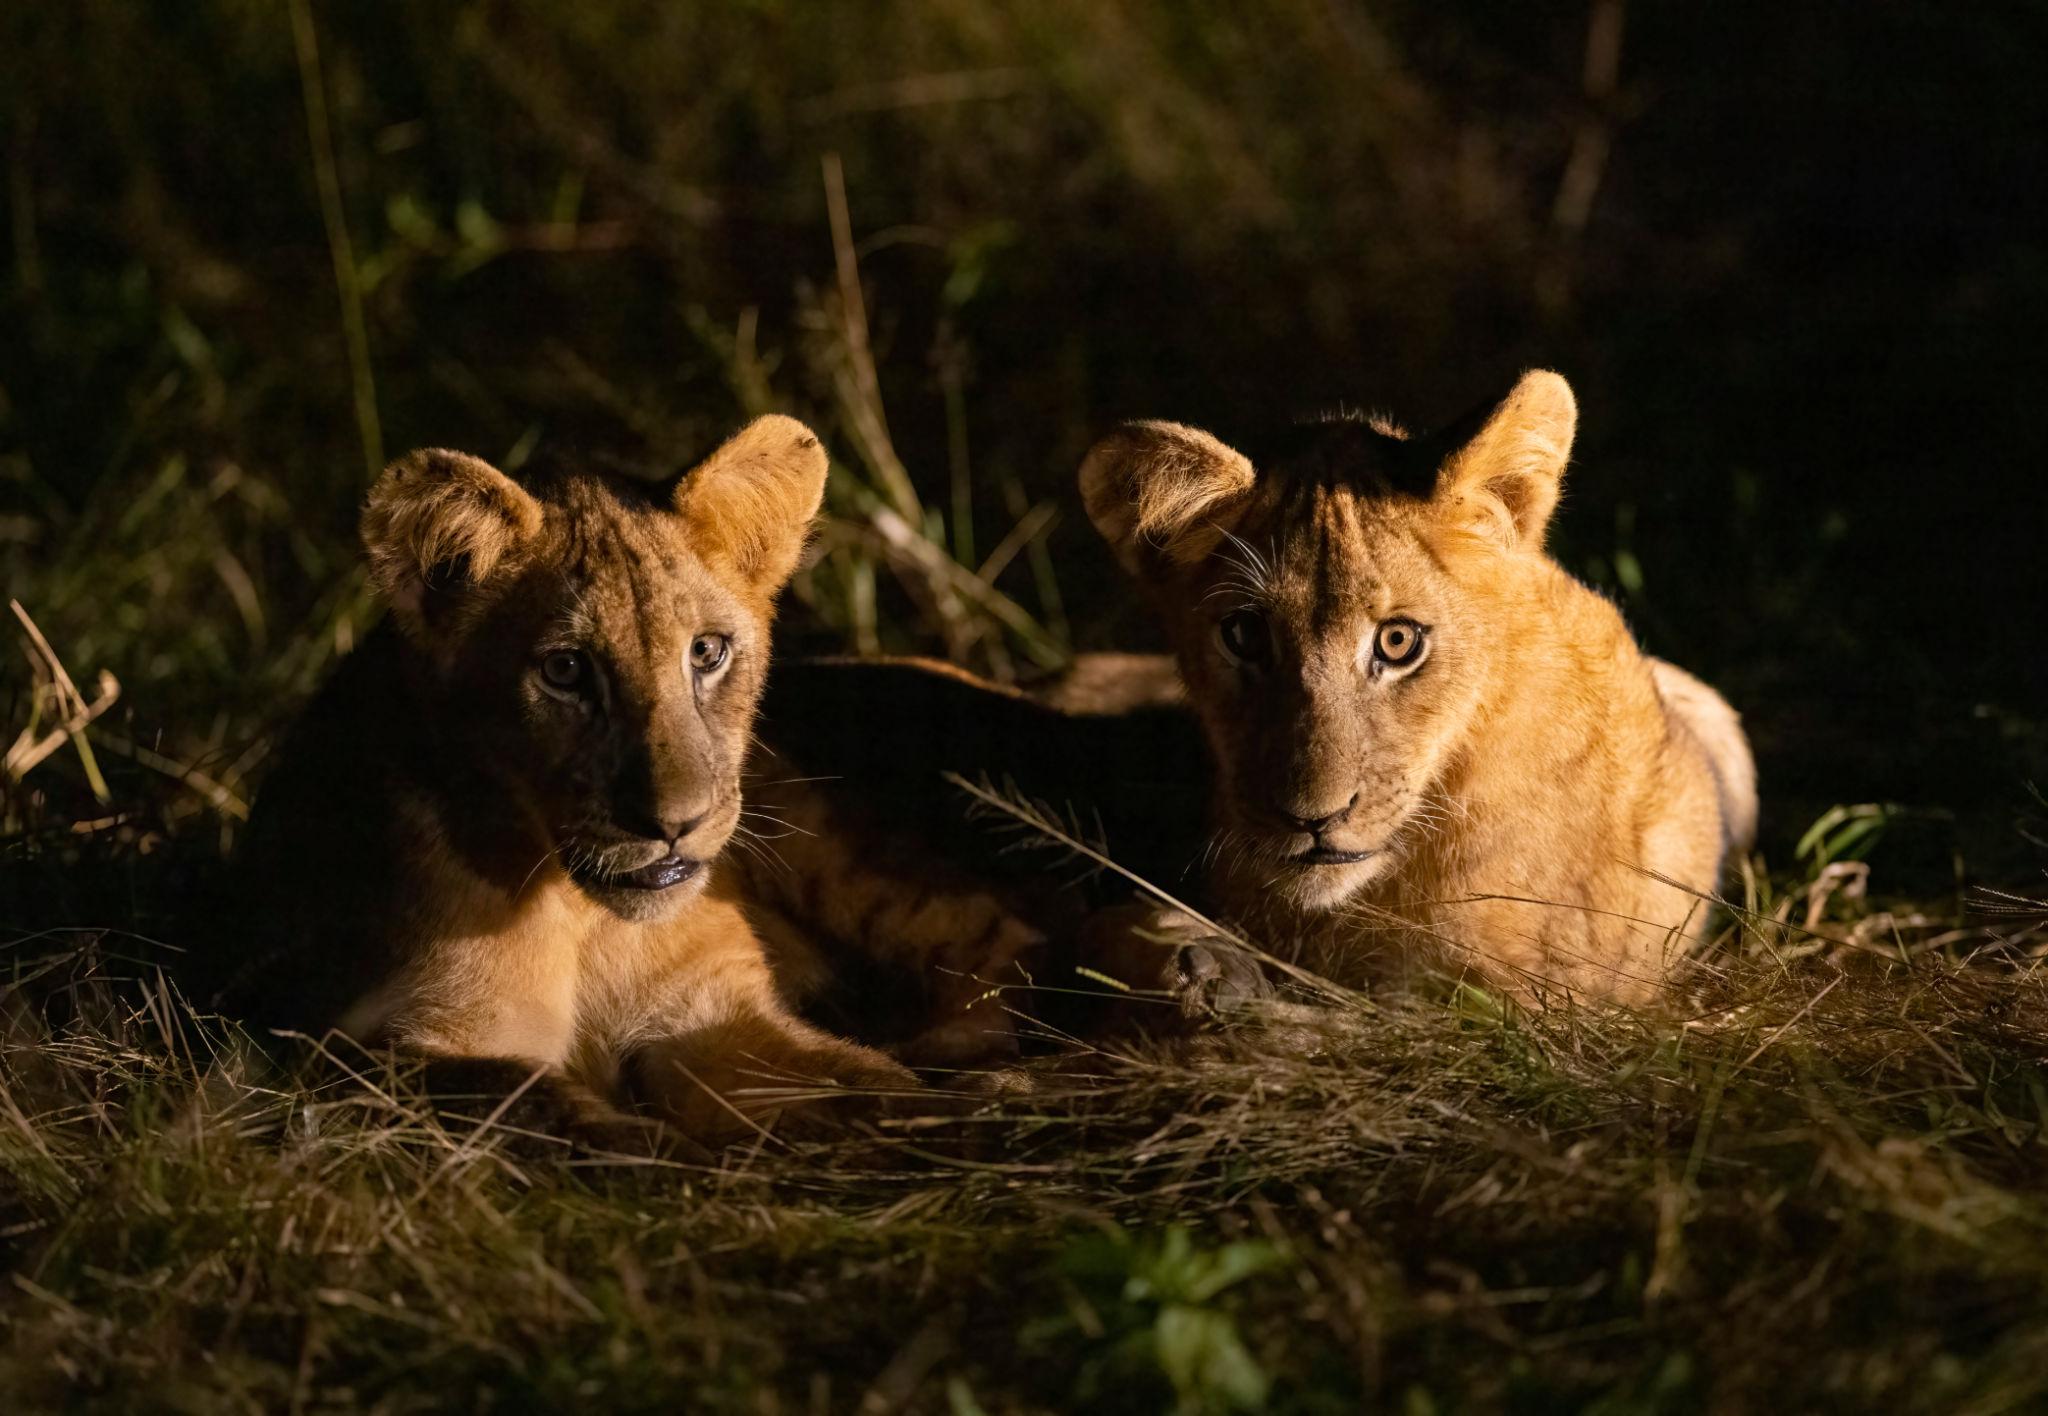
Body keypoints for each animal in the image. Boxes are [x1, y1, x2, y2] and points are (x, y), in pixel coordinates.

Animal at [224, 416, 916, 1143]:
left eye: (707, 652)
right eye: (564, 670)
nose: (677, 824)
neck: (587, 923)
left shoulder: (713, 1013)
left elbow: (881, 1086)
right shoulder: (366, 1049)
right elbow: (558, 1117)